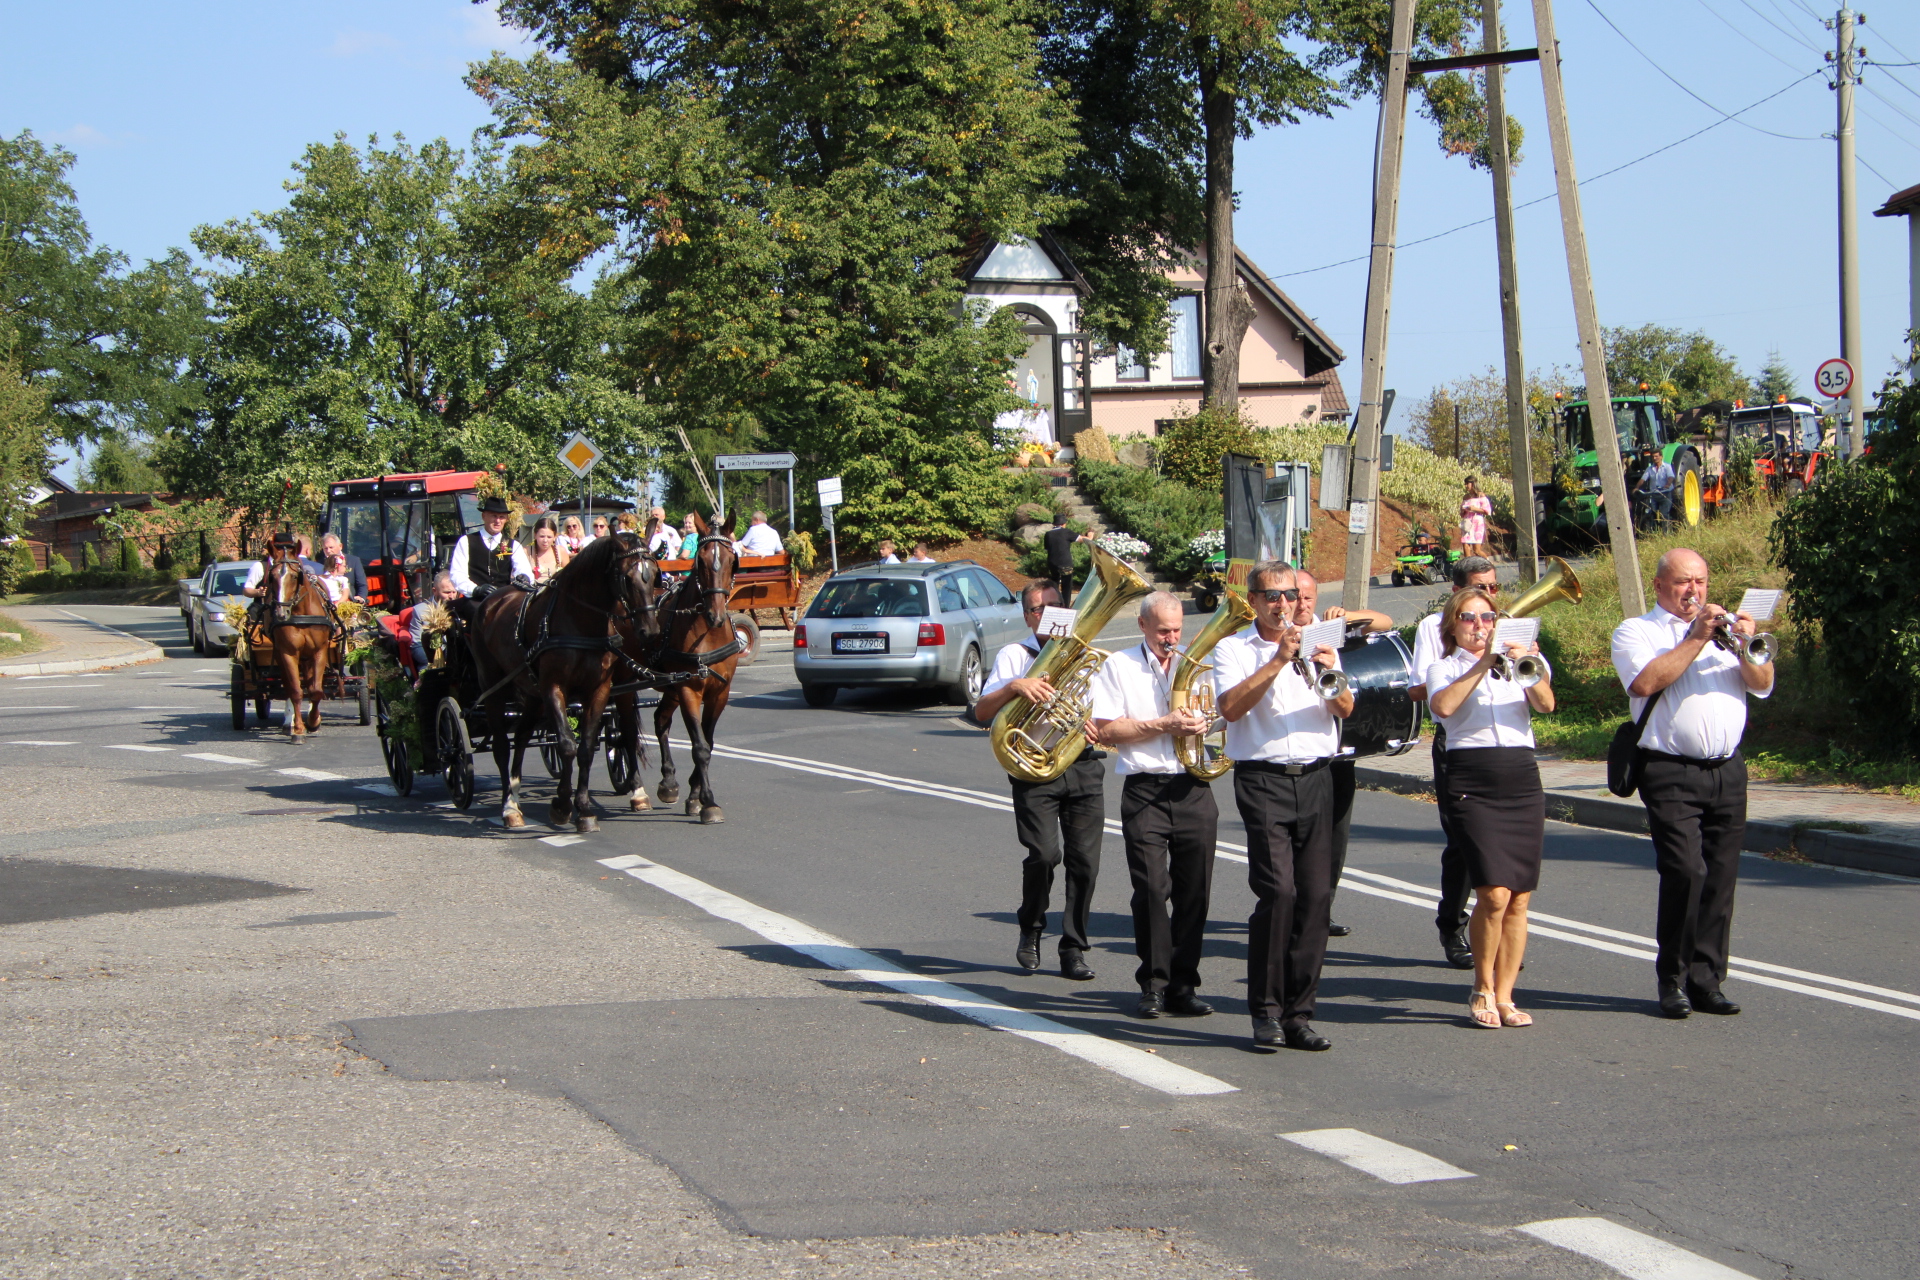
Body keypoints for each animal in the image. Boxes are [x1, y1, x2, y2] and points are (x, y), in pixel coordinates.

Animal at [265, 557, 338, 741]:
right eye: (272, 577)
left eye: (294, 576)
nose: (281, 612)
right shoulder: (288, 652)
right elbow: (295, 691)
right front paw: (298, 729)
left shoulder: (319, 651)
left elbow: (316, 690)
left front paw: (314, 721)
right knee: (290, 685)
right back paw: (288, 723)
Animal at [466, 531, 661, 832]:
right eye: (626, 578)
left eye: (654, 575)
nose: (649, 630)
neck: (579, 622)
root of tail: (493, 599)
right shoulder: (554, 688)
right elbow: (567, 745)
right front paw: (562, 805)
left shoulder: (599, 690)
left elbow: (586, 748)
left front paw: (583, 809)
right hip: (493, 689)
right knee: (501, 746)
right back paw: (508, 807)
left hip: (532, 694)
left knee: (521, 737)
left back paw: (515, 795)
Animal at [647, 512, 743, 824]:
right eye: (700, 561)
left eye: (732, 559)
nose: (715, 615)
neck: (709, 632)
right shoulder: (689, 689)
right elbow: (699, 747)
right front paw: (708, 802)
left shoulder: (719, 692)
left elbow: (708, 742)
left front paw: (694, 796)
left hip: (671, 686)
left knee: (660, 720)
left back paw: (668, 783)